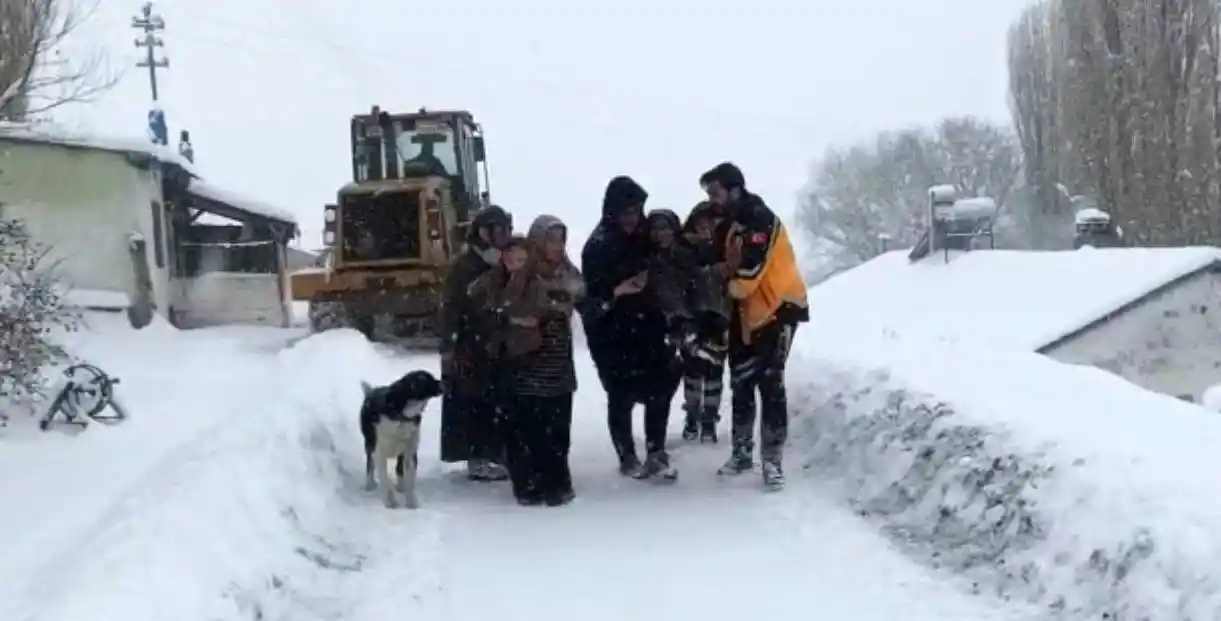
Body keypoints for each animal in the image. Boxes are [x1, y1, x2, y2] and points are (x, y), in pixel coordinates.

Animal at [361, 368, 444, 507]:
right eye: (428, 379)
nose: (446, 382)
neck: (402, 416)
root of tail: (372, 390)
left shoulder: (410, 452)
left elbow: (408, 478)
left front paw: (411, 504)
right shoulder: (379, 452)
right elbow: (384, 478)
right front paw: (390, 502)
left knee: (399, 469)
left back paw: (400, 487)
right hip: (369, 444)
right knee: (370, 465)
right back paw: (369, 484)